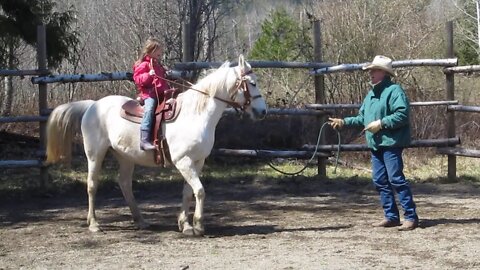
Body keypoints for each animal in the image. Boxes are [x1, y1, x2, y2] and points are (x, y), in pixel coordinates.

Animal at [45, 55, 266, 236]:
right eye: (253, 83)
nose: (263, 111)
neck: (196, 115)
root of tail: (92, 105)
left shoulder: (197, 161)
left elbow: (188, 192)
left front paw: (185, 225)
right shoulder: (183, 161)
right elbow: (200, 191)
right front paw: (198, 225)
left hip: (125, 157)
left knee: (124, 184)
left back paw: (141, 221)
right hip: (94, 154)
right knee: (92, 185)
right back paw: (94, 224)